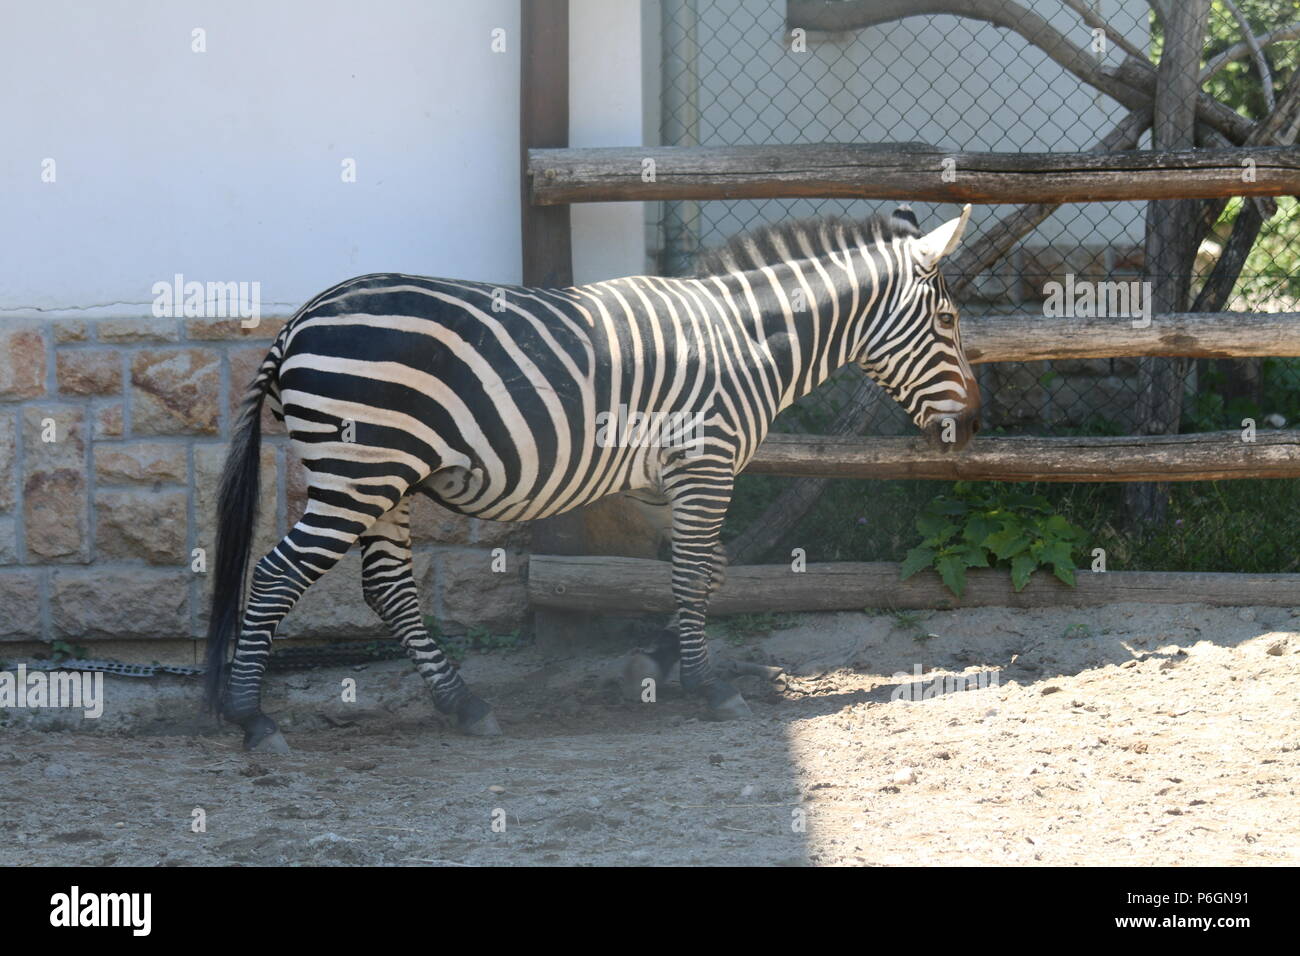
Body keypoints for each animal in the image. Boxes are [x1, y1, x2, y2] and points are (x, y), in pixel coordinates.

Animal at [205, 204, 977, 754]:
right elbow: (695, 573)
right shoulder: (706, 462)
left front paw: (656, 663)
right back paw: (252, 719)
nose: (970, 425)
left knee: (388, 588)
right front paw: (707, 686)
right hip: (359, 473)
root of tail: (300, 319)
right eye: (947, 320)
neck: (748, 343)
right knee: (276, 575)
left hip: (386, 479)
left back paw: (464, 705)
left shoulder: (661, 478)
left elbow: (709, 571)